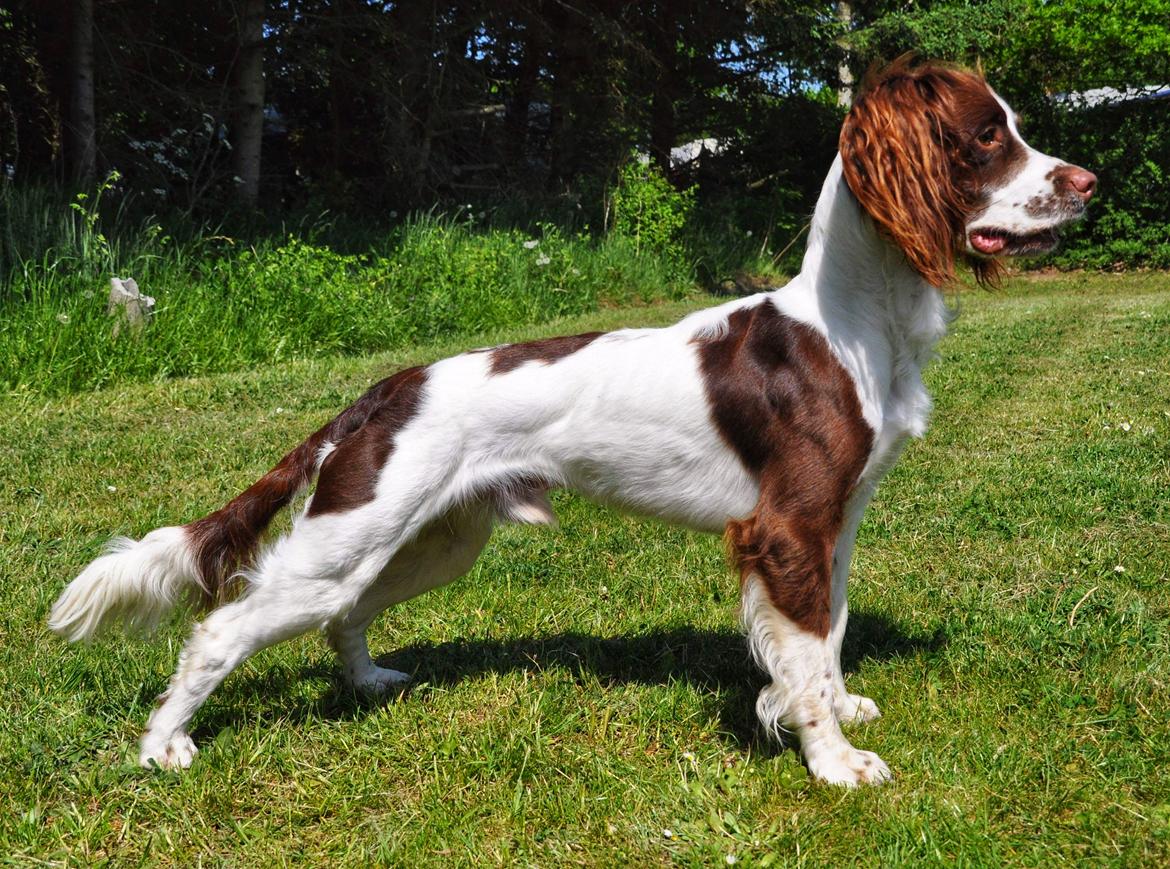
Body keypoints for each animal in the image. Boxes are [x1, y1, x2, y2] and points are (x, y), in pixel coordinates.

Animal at [50, 59, 1095, 781]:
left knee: (342, 613)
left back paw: (369, 683)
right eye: (988, 137)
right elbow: (800, 657)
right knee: (222, 629)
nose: (1085, 183)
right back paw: (162, 745)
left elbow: (827, 636)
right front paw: (833, 762)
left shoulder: (836, 524)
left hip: (432, 537)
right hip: (355, 532)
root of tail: (389, 385)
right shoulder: (787, 528)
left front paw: (844, 711)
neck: (848, 322)